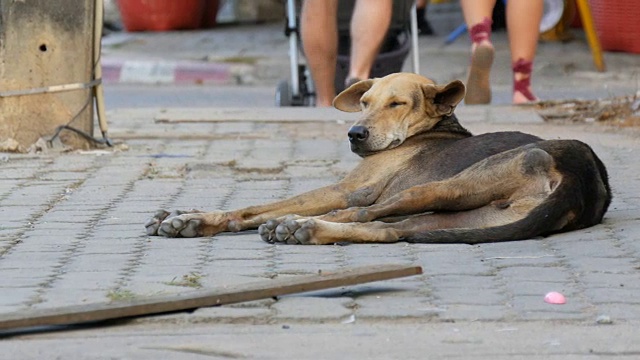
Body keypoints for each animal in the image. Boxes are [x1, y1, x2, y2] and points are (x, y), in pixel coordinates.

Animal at [144, 72, 608, 245]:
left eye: (397, 103)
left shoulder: (346, 189)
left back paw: (299, 225)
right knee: (390, 232)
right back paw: (310, 231)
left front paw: (197, 218)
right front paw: (185, 214)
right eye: (365, 101)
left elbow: (254, 207)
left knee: (364, 215)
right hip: (462, 217)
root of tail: (584, 182)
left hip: (441, 187)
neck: (428, 130)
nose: (355, 133)